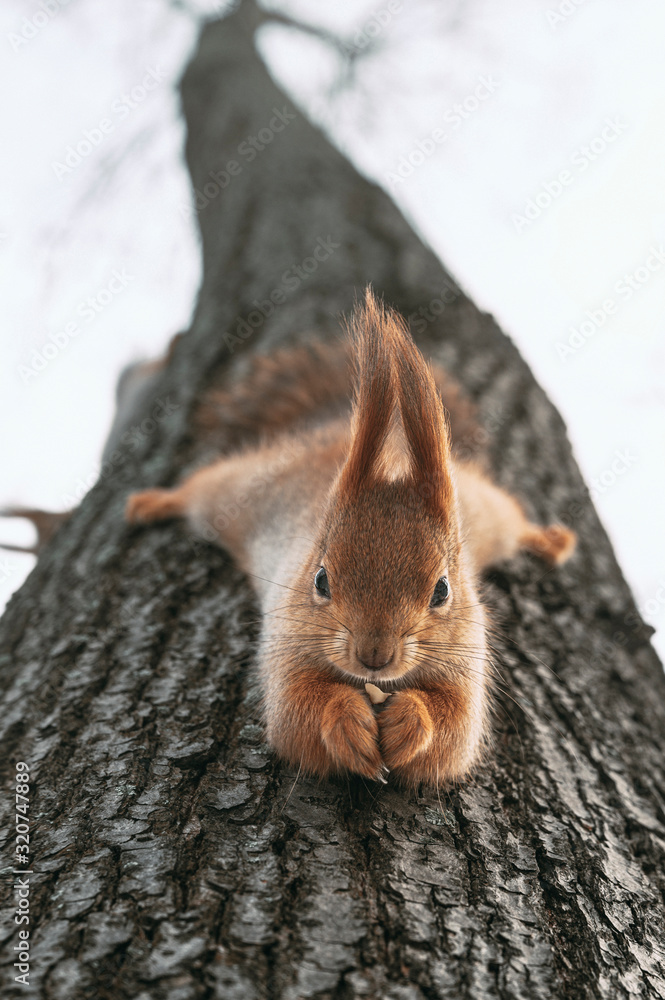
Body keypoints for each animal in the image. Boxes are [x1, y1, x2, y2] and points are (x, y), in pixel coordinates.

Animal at [126, 290, 576, 788]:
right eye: (321, 580)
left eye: (442, 591)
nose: (373, 656)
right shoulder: (287, 646)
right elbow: (297, 713)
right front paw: (346, 722)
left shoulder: (467, 658)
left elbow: (453, 729)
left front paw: (410, 722)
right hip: (237, 491)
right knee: (197, 489)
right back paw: (152, 502)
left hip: (491, 512)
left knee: (517, 523)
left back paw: (550, 539)